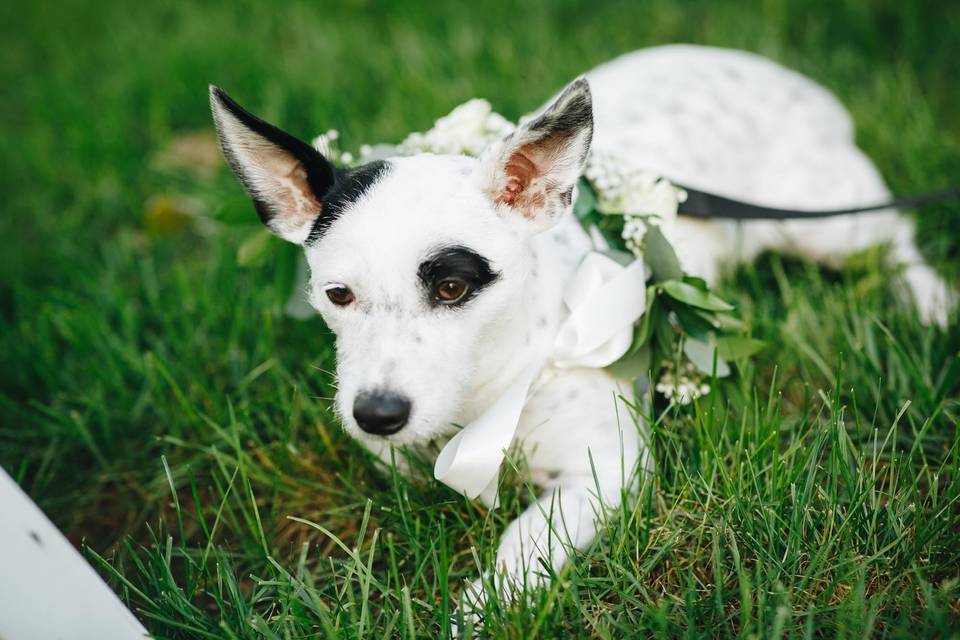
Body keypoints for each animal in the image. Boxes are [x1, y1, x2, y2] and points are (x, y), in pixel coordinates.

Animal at [210, 45, 952, 620]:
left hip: (827, 223)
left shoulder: (604, 473)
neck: (491, 395)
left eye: (452, 288)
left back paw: (930, 301)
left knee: (896, 243)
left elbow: (521, 544)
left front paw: (477, 612)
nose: (378, 413)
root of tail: (790, 81)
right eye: (337, 295)